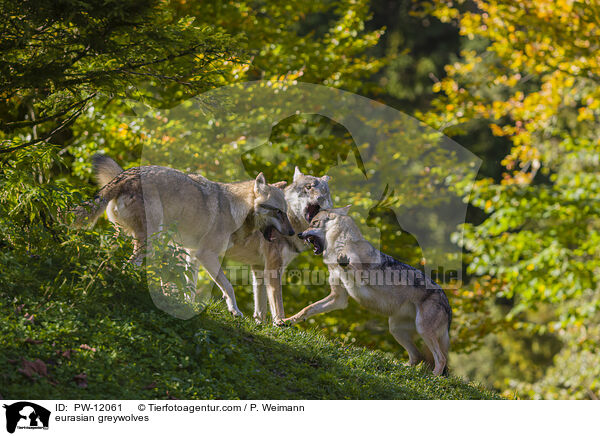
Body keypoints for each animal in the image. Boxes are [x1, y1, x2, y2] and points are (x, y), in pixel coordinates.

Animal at [71, 155, 294, 318]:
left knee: (113, 261)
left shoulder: (192, 254)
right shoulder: (206, 255)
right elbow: (228, 287)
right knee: (131, 264)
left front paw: (186, 306)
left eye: (286, 212)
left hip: (123, 238)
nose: (293, 233)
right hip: (151, 240)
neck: (235, 210)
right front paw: (235, 310)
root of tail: (126, 175)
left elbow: (190, 287)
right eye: (278, 212)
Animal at [224, 167, 332, 324]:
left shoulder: (259, 267)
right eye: (308, 187)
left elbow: (260, 309)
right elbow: (278, 306)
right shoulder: (273, 268)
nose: (321, 199)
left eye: (325, 192)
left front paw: (260, 325)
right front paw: (280, 324)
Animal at [286, 207, 450, 374]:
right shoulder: (338, 298)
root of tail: (446, 301)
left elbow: (350, 265)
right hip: (396, 329)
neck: (340, 244)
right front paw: (286, 321)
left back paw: (433, 377)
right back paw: (402, 369)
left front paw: (343, 260)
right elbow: (308, 309)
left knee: (441, 359)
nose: (299, 234)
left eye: (314, 223)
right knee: (417, 356)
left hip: (422, 330)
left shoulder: (360, 278)